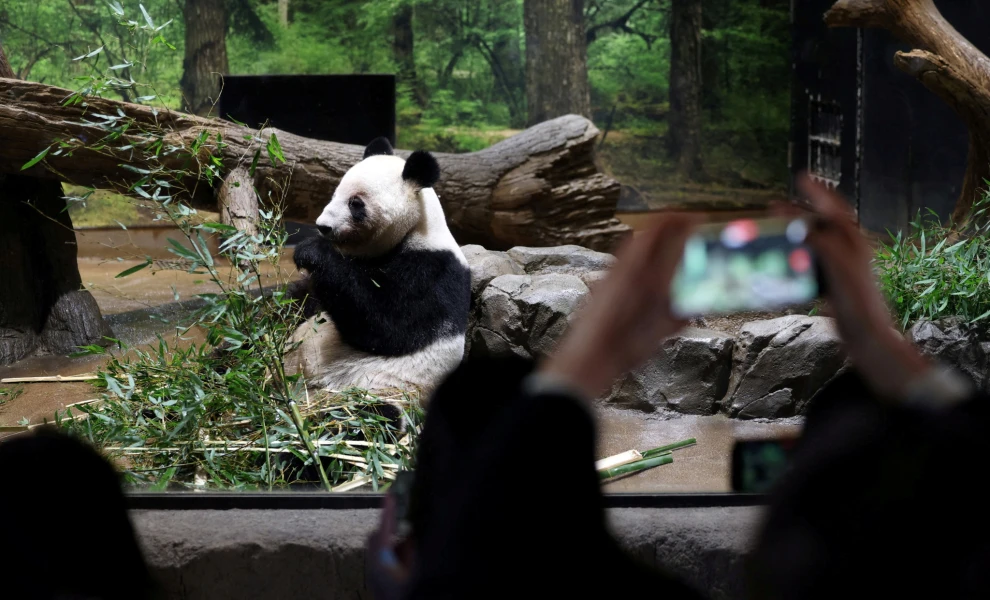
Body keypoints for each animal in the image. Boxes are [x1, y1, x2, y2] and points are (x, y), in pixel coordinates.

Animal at [284, 137, 471, 397]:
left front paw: (311, 251)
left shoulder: (432, 270)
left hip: (378, 388)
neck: (414, 229)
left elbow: (388, 326)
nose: (323, 226)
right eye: (334, 194)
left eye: (355, 203)